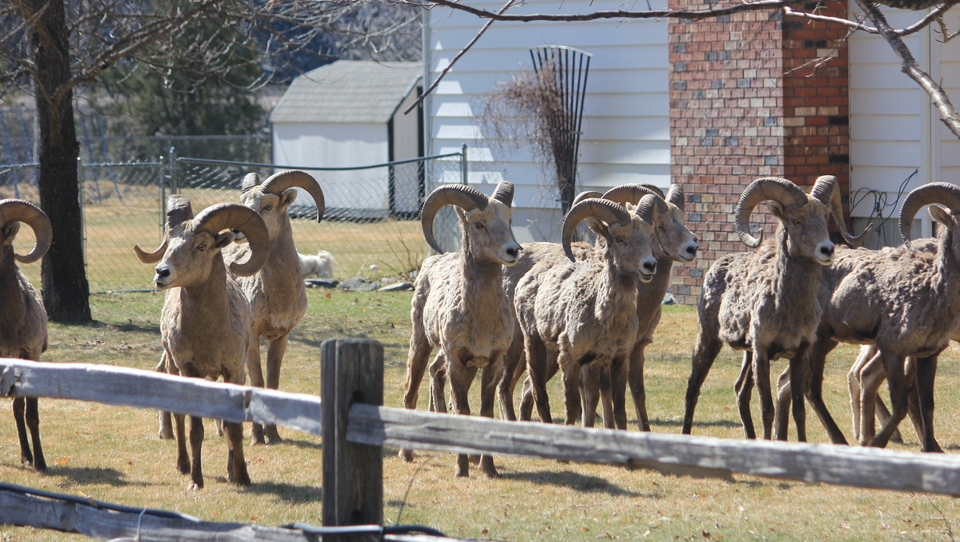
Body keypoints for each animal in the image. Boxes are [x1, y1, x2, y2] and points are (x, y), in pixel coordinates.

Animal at [135, 195, 269, 489]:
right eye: (170, 242)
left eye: (202, 246)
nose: (161, 273)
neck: (209, 335)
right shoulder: (190, 371)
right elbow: (195, 430)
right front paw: (196, 481)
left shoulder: (234, 371)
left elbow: (233, 427)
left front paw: (241, 477)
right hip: (173, 368)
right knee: (179, 418)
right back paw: (183, 466)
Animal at [400, 181, 520, 477]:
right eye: (478, 224)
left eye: (509, 221)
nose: (513, 250)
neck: (482, 320)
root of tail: (431, 263)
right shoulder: (456, 361)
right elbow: (463, 410)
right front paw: (461, 470)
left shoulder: (491, 363)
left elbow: (485, 413)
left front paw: (489, 469)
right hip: (421, 343)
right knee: (411, 391)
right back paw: (407, 454)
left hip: (458, 361)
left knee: (434, 375)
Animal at [500, 185, 698, 431]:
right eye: (660, 225)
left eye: (681, 219)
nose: (692, 247)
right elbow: (597, 396)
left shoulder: (631, 352)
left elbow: (634, 394)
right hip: (524, 343)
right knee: (513, 386)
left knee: (525, 387)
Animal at [680, 175, 866, 441]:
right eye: (795, 220)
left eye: (824, 216)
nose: (827, 249)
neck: (787, 308)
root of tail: (716, 266)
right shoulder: (762, 352)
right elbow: (767, 409)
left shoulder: (800, 353)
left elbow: (799, 410)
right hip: (708, 339)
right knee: (693, 388)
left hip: (746, 355)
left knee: (740, 392)